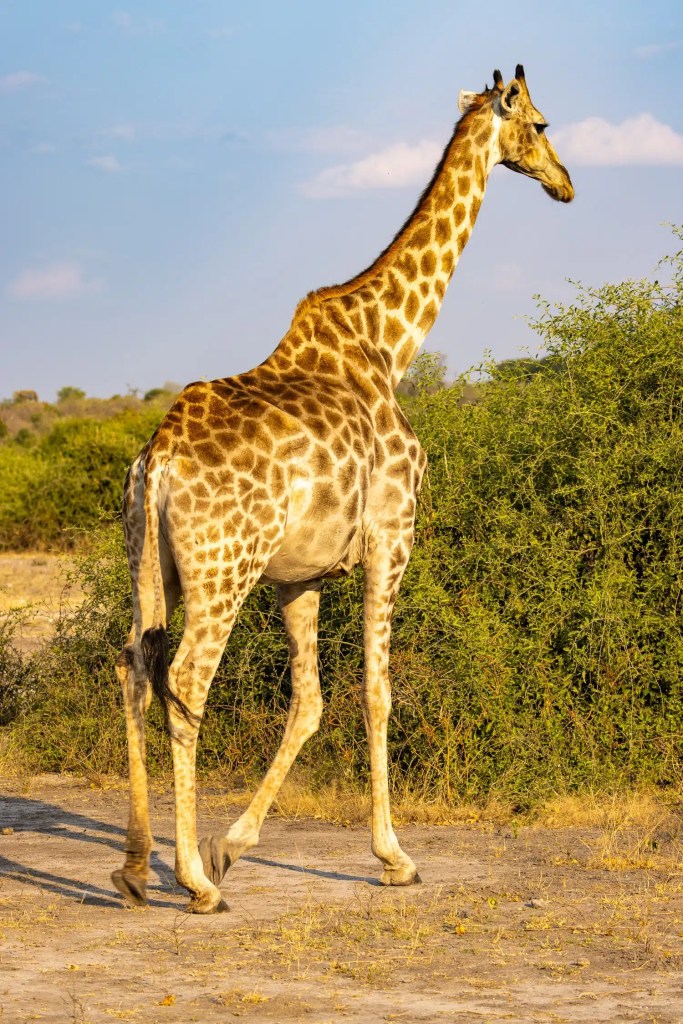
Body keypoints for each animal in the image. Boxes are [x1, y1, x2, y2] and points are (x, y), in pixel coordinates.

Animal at [112, 65, 573, 914]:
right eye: (540, 124)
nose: (564, 183)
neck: (390, 344)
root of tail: (158, 460)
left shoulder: (300, 577)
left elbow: (310, 702)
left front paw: (233, 845)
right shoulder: (392, 539)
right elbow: (376, 692)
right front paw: (394, 856)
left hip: (148, 562)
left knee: (134, 665)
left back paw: (134, 868)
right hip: (223, 569)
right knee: (186, 677)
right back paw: (192, 881)